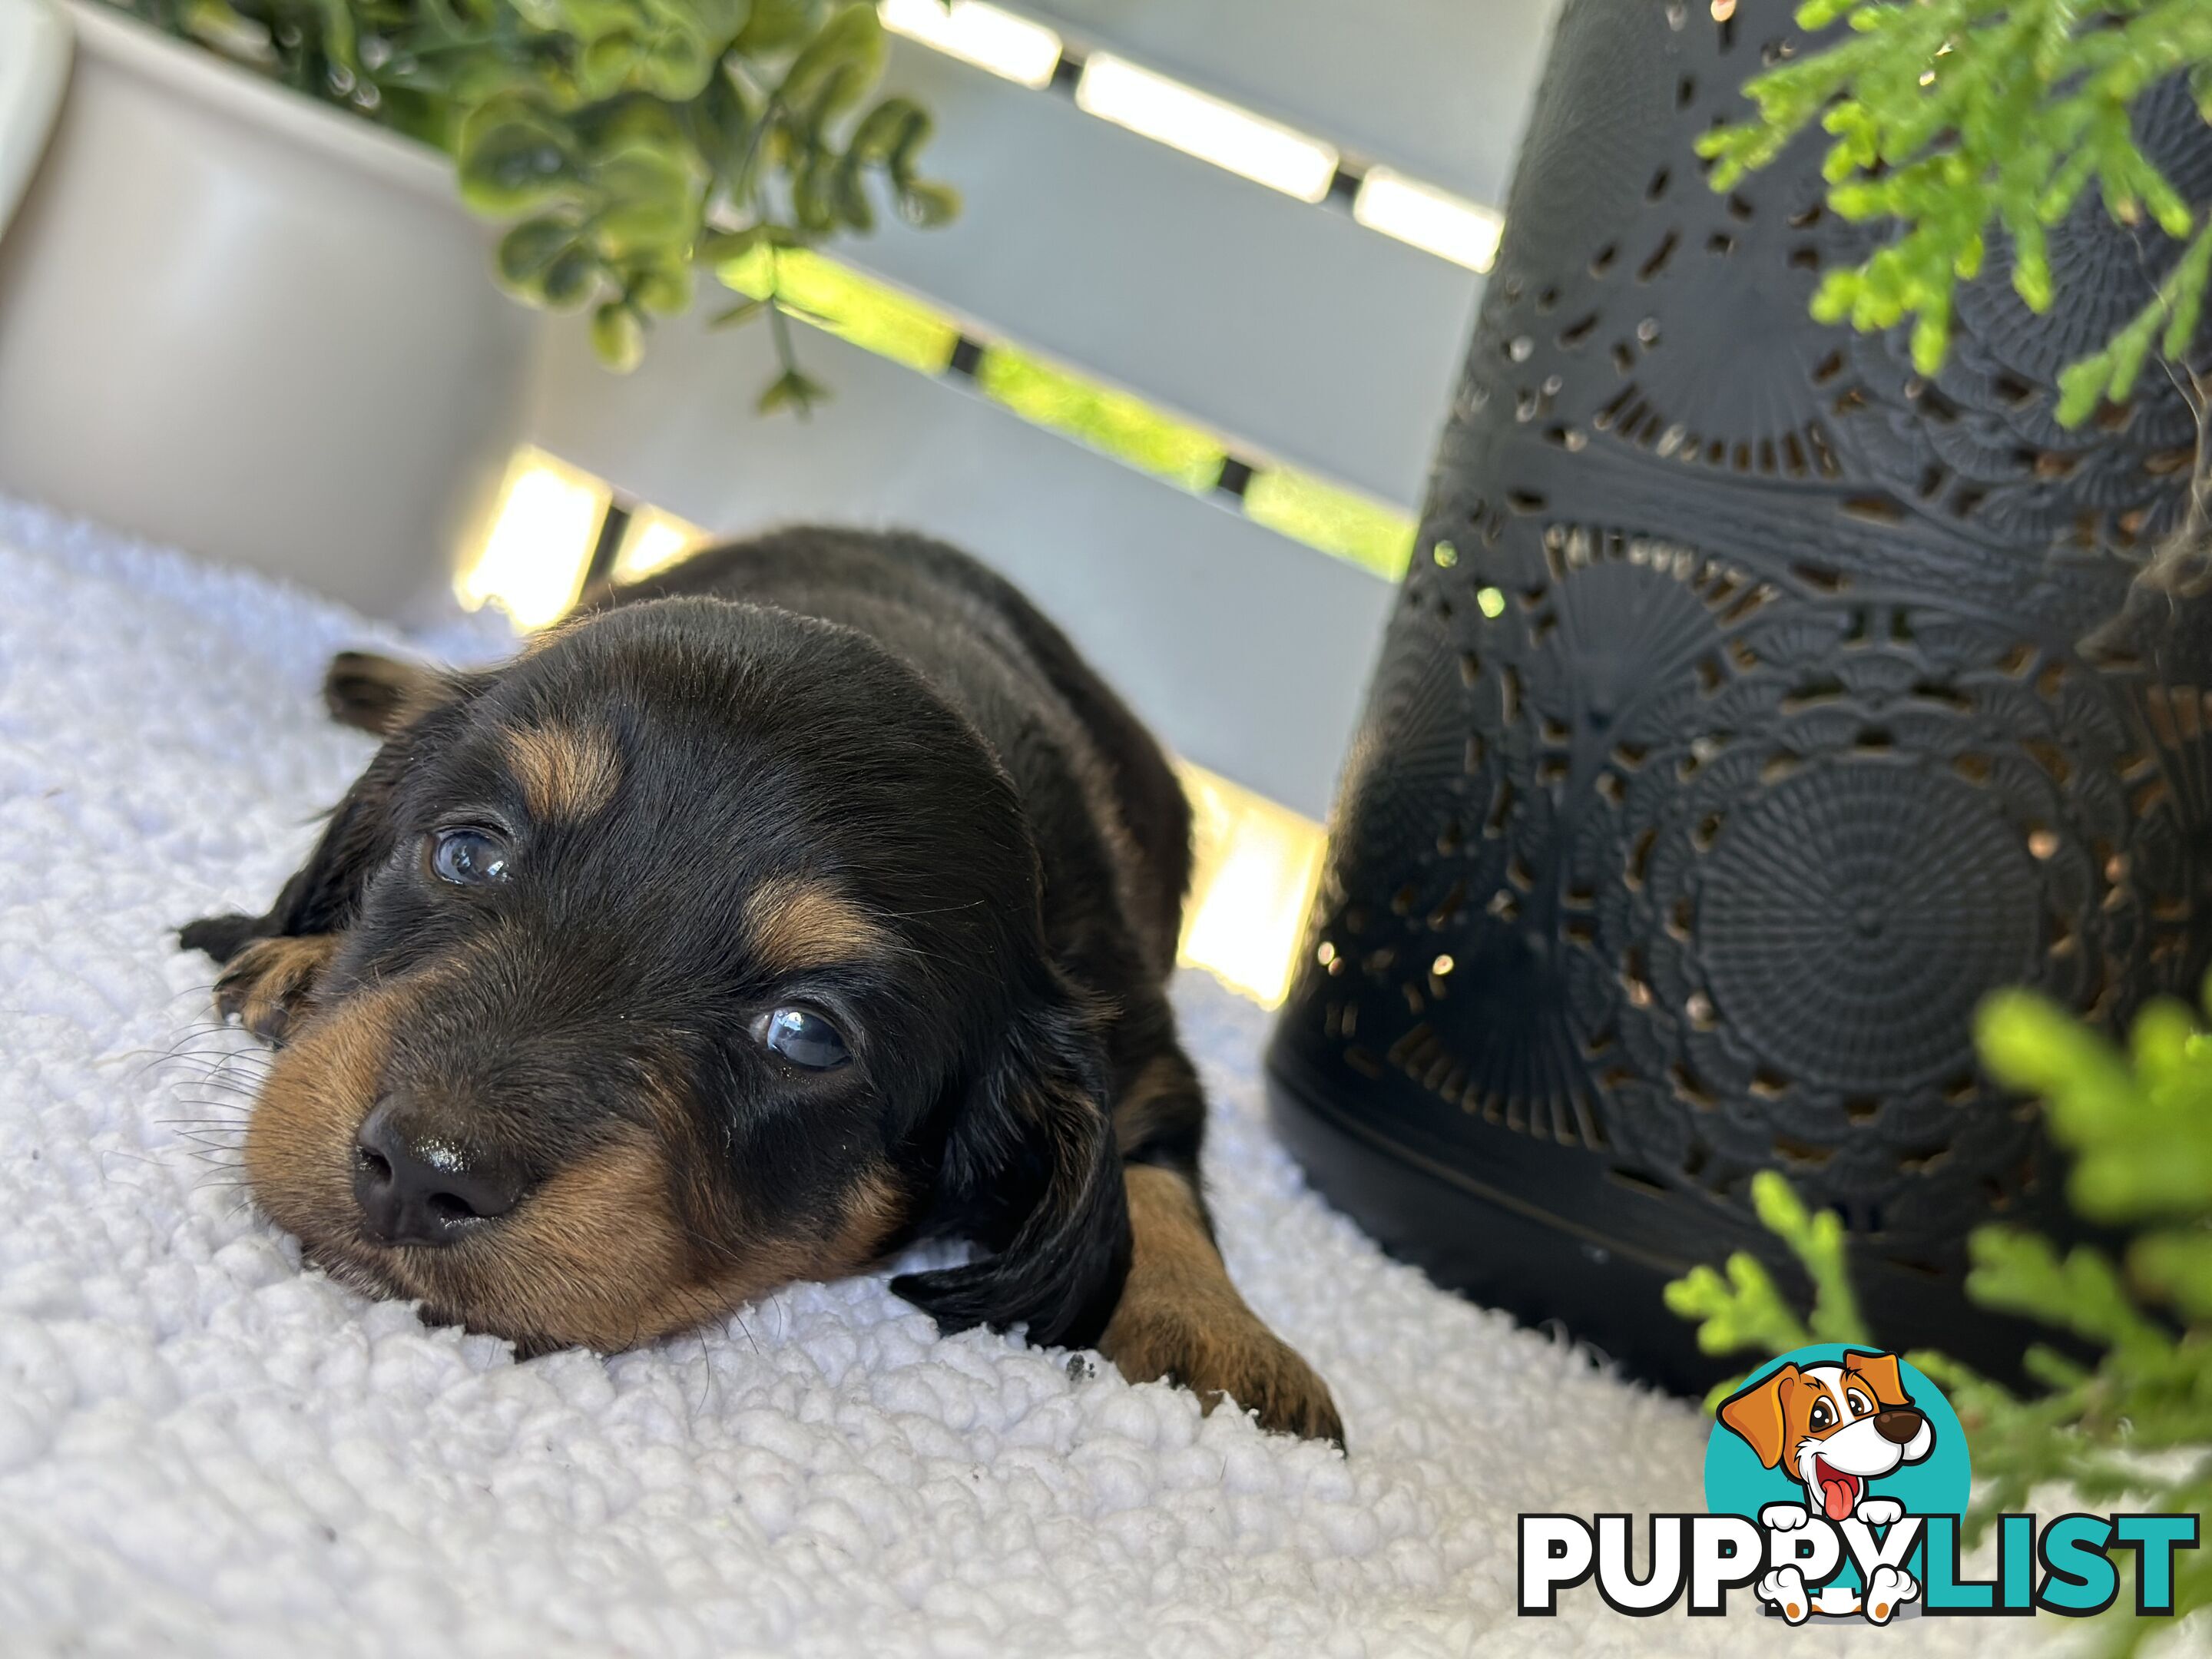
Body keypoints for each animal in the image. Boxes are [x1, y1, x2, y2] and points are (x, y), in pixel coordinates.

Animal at [181, 528, 1336, 1442]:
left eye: (807, 1035)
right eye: (470, 854)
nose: (422, 1175)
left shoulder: (1142, 1045)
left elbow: (1154, 1171)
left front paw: (1217, 1334)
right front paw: (302, 959)